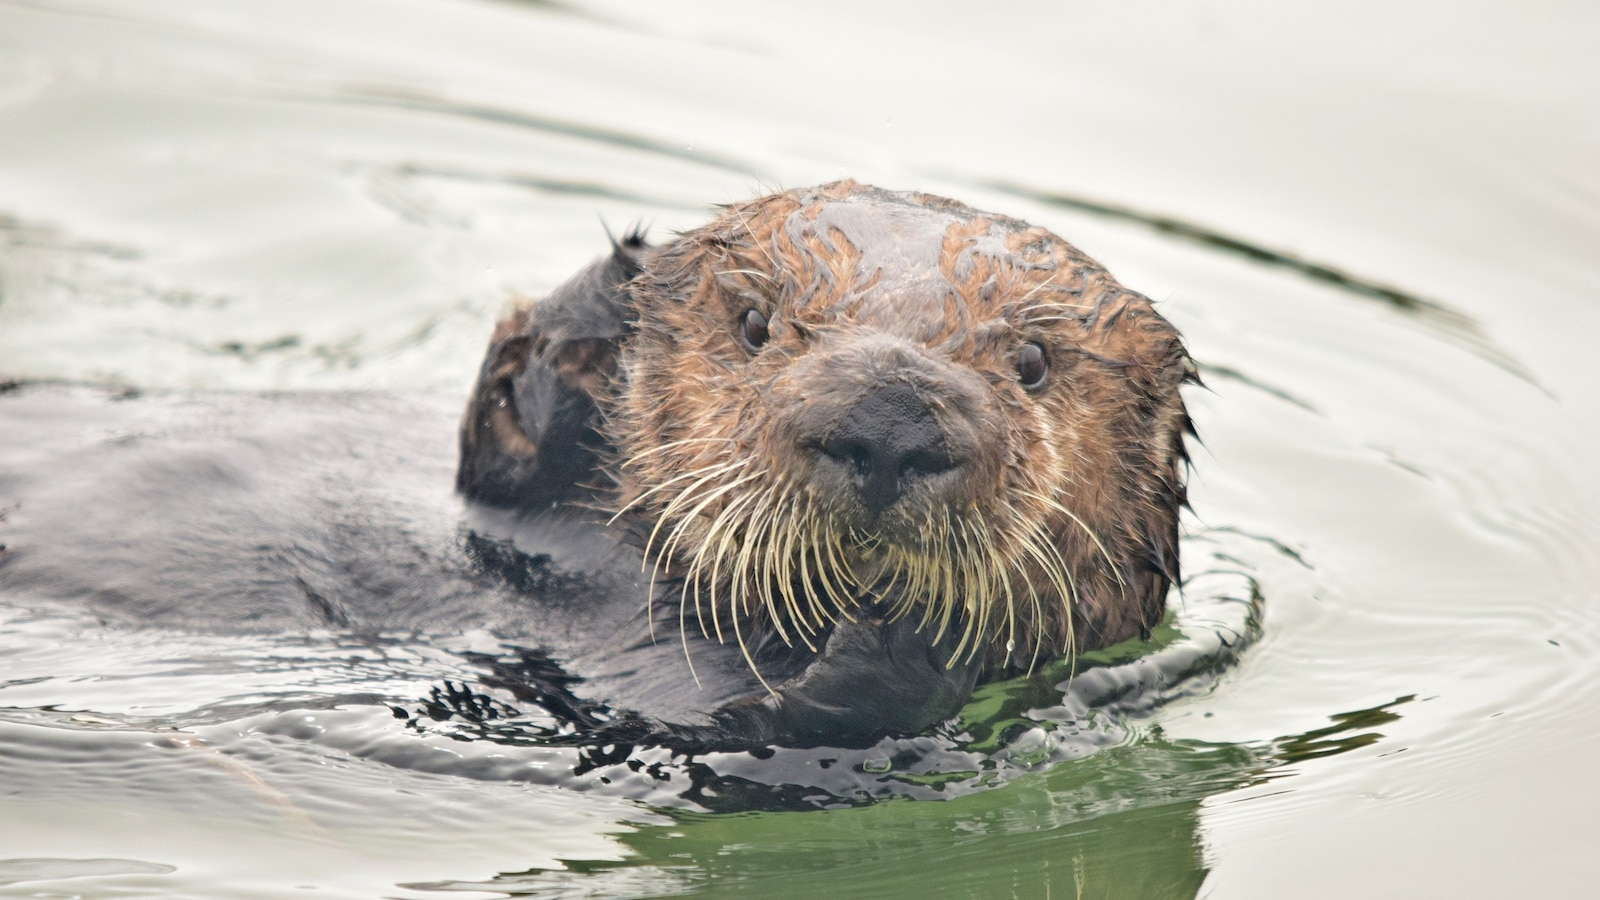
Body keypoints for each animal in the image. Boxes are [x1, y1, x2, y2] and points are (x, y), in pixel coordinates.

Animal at [0, 182, 1192, 750]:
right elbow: (500, 431)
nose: (890, 412)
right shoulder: (507, 498)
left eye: (1033, 361)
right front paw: (620, 282)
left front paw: (895, 634)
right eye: (754, 324)